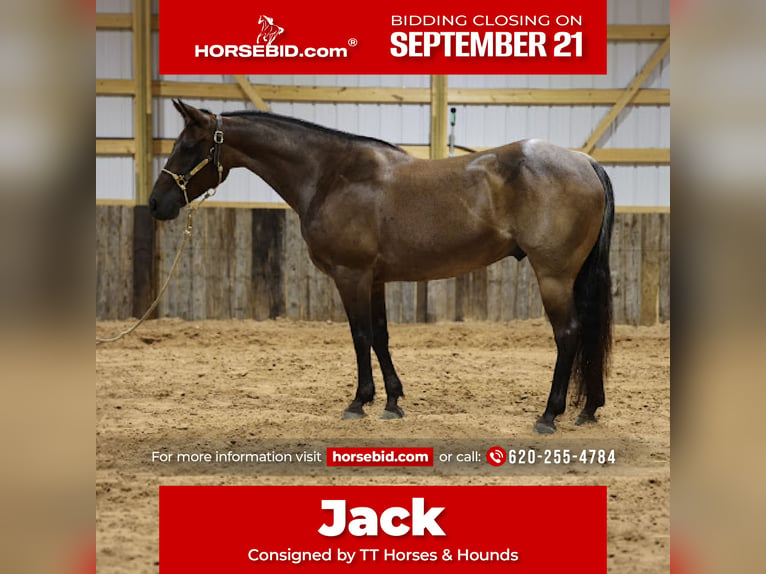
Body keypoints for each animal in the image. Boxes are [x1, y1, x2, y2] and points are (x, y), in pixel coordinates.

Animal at [150, 100, 614, 434]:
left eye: (188, 146)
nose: (156, 204)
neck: (332, 176)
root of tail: (584, 161)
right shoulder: (373, 280)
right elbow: (380, 337)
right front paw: (392, 402)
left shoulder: (350, 275)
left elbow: (360, 337)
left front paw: (359, 402)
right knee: (589, 330)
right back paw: (588, 409)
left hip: (553, 275)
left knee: (568, 334)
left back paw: (549, 415)